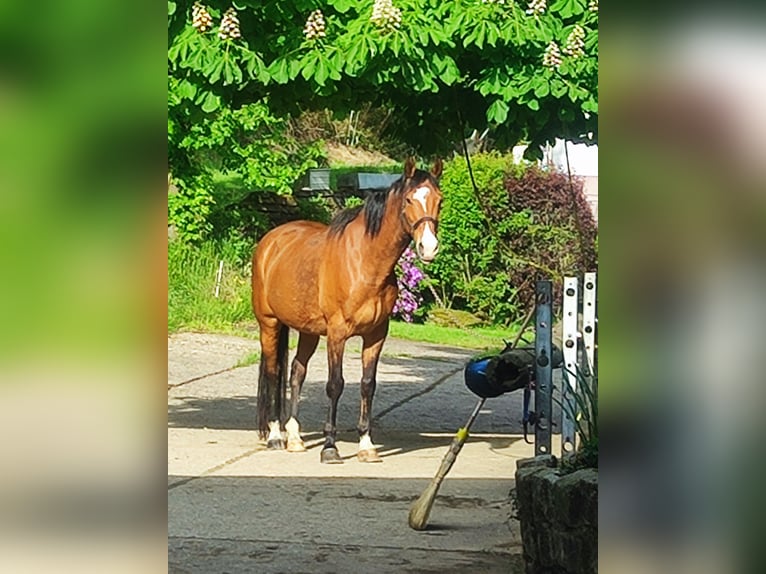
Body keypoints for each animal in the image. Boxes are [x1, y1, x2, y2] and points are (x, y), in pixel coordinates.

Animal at [252, 157, 443, 463]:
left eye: (439, 200)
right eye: (409, 199)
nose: (429, 247)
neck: (365, 263)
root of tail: (270, 240)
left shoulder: (376, 335)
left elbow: (367, 384)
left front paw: (367, 445)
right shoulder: (337, 333)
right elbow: (335, 384)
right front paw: (330, 447)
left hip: (308, 331)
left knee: (296, 372)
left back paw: (294, 438)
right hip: (269, 323)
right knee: (273, 373)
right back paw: (275, 436)